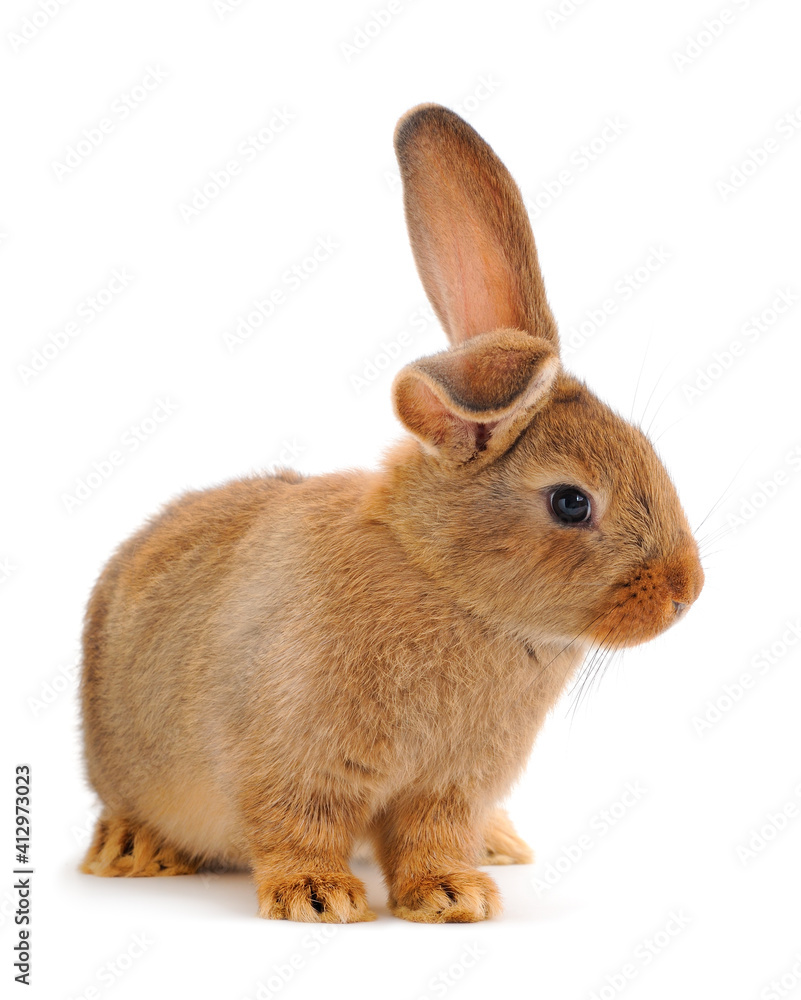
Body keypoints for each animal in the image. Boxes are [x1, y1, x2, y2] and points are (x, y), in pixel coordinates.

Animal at [79, 103, 704, 924]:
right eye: (571, 501)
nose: (686, 590)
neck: (446, 581)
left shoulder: (447, 786)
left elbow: (430, 836)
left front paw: (452, 896)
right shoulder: (295, 756)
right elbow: (299, 825)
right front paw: (318, 899)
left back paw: (499, 847)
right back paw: (131, 850)